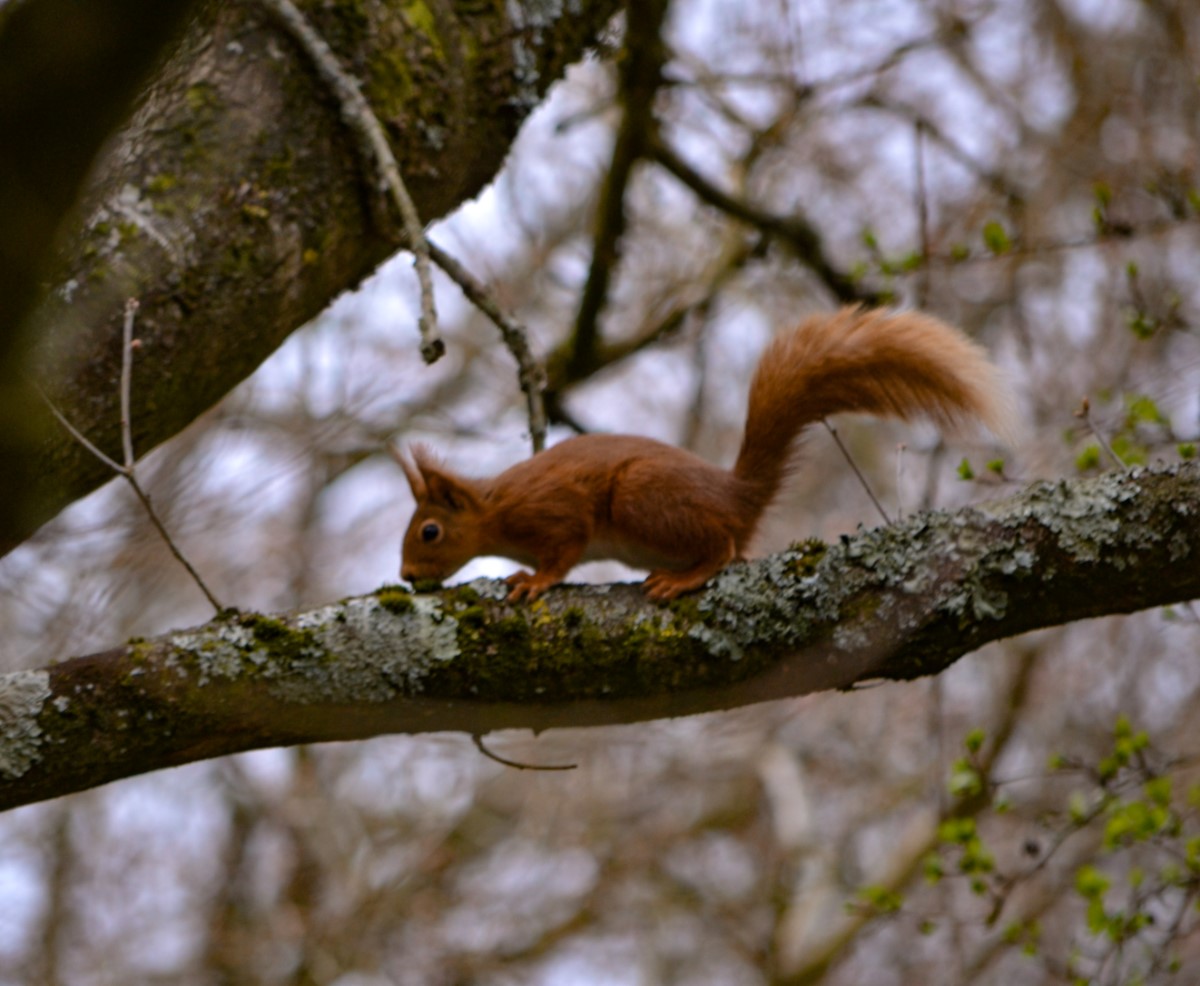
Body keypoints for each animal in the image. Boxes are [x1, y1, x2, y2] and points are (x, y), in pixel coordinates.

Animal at [394, 306, 1016, 602]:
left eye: (430, 531)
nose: (404, 575)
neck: (496, 509)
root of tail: (738, 495)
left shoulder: (553, 510)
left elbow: (565, 547)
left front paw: (534, 580)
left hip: (643, 499)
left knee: (720, 547)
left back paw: (685, 578)